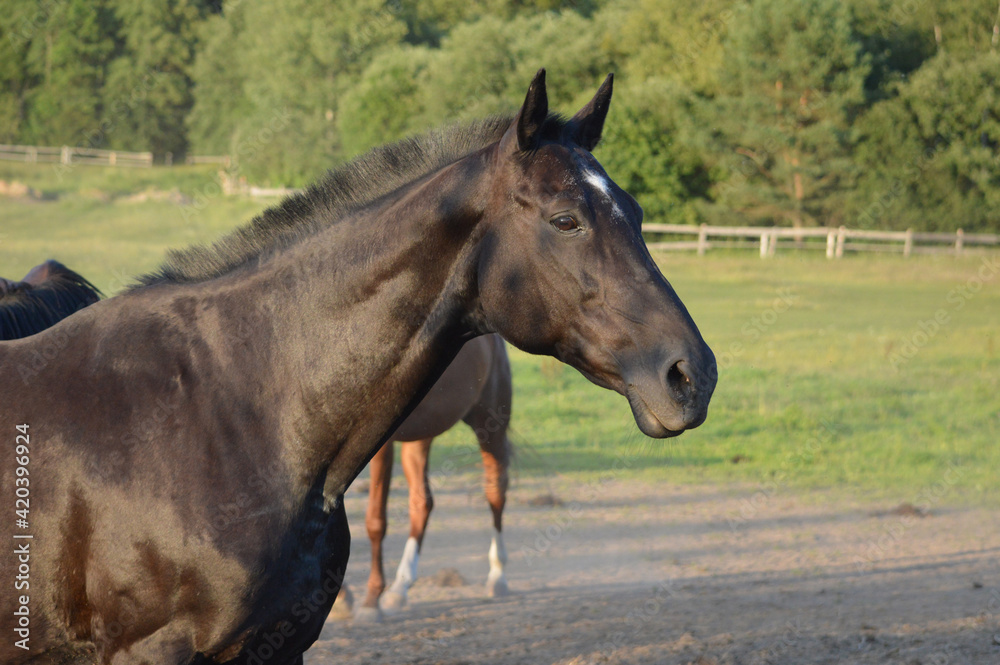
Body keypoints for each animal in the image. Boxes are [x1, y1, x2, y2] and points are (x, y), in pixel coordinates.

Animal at [348, 338, 512, 624]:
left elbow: (375, 522)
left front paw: (370, 602)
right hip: (420, 436)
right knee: (422, 503)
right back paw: (399, 588)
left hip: (490, 426)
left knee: (495, 492)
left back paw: (497, 577)